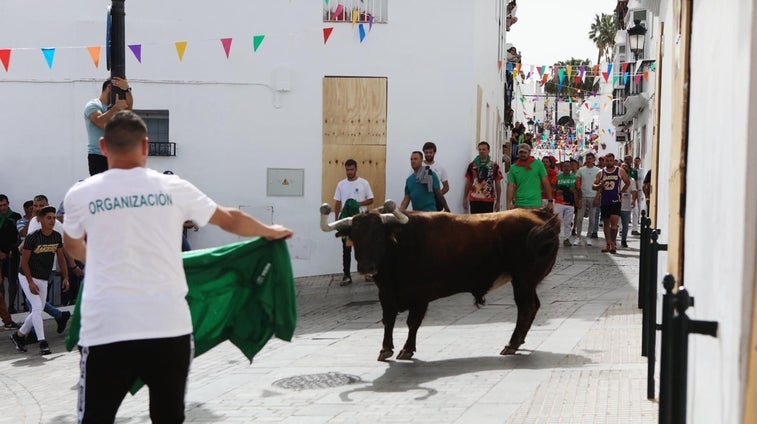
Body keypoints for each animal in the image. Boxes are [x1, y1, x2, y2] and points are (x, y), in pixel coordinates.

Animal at [318, 202, 560, 362]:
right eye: (355, 237)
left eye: (378, 236)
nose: (367, 267)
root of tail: (539, 215)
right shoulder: (385, 293)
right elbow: (388, 320)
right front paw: (385, 349)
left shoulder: (420, 295)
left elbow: (412, 322)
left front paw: (406, 350)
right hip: (526, 281)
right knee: (532, 306)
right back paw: (517, 343)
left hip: (523, 279)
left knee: (526, 307)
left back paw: (511, 344)